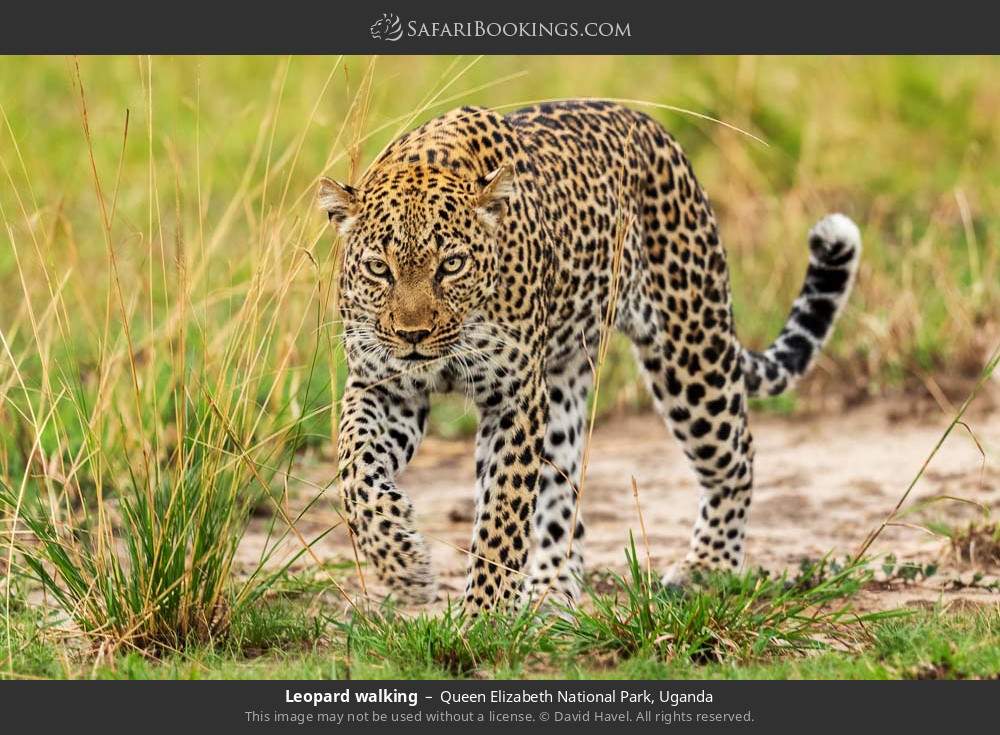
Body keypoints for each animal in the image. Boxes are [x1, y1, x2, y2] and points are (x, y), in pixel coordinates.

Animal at [318, 99, 860, 616]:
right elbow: (354, 471)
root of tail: (652, 127)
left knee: (735, 455)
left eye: (451, 265)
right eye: (378, 268)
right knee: (563, 503)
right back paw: (550, 594)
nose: (413, 335)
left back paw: (707, 567)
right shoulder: (383, 388)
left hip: (689, 348)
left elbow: (502, 516)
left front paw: (482, 618)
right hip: (565, 382)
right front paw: (405, 565)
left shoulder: (515, 397)